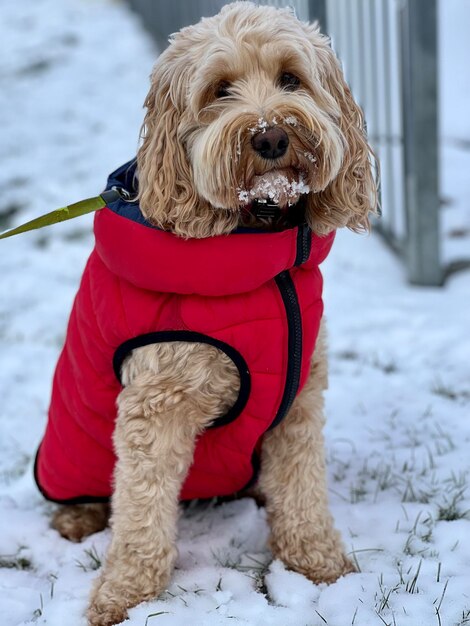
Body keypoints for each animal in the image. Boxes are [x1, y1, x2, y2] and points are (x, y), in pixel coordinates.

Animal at [36, 2, 378, 620]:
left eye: (291, 78)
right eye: (220, 90)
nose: (270, 137)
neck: (262, 252)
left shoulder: (300, 397)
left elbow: (303, 488)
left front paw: (320, 566)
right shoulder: (157, 404)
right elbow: (142, 512)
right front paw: (123, 597)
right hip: (73, 448)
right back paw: (77, 516)